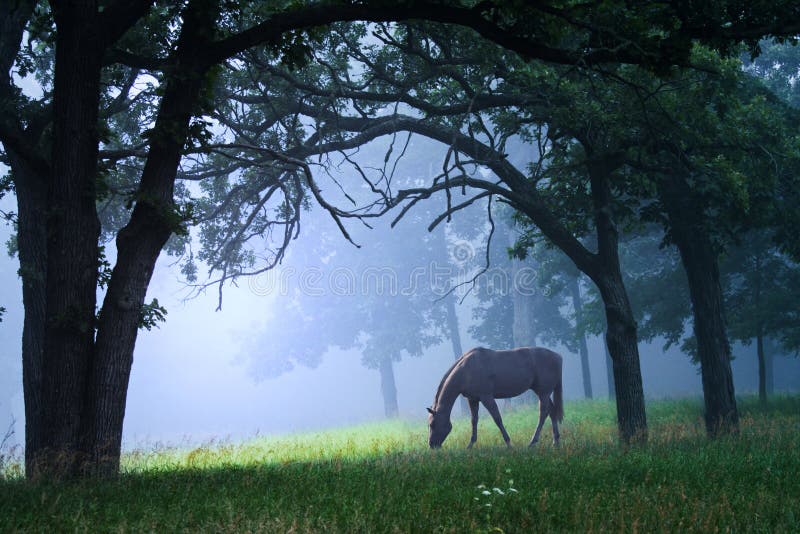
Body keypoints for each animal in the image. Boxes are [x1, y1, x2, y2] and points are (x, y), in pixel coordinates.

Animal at [424, 350, 564, 450]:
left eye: (432, 424)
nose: (431, 445)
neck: (466, 370)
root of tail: (558, 357)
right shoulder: (473, 400)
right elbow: (474, 421)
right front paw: (470, 445)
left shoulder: (487, 397)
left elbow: (497, 419)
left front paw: (509, 444)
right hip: (542, 392)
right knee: (552, 412)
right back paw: (556, 441)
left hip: (543, 393)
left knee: (543, 414)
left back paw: (533, 442)